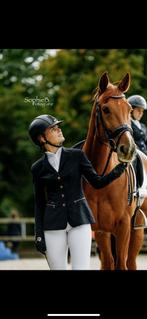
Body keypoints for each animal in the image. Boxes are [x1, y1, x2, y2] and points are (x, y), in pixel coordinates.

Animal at [82, 72, 147, 270]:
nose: (128, 149)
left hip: (137, 230)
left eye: (128, 109)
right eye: (105, 109)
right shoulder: (100, 229)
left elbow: (121, 264)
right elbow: (108, 263)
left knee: (130, 261)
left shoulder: (124, 226)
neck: (101, 177)